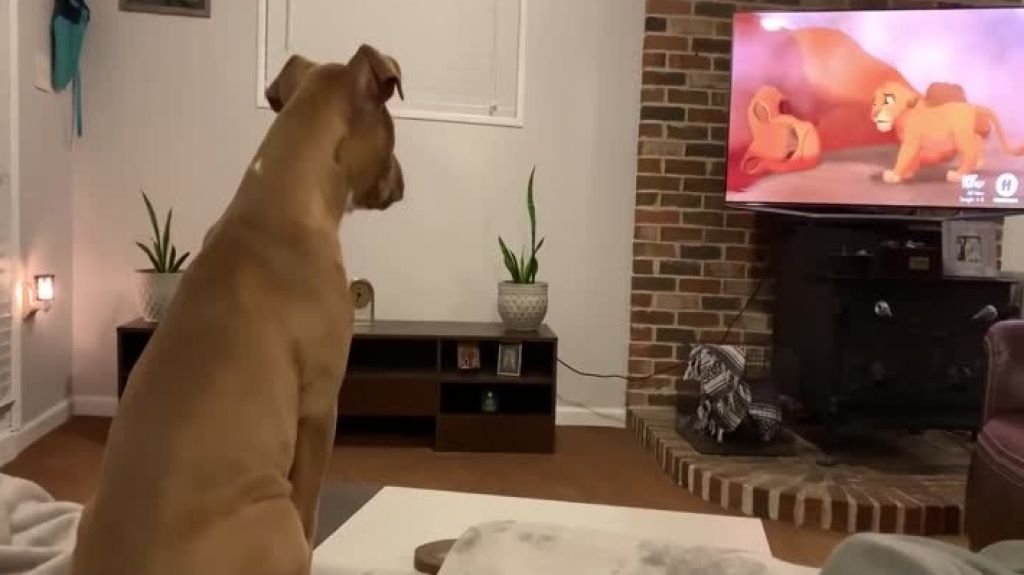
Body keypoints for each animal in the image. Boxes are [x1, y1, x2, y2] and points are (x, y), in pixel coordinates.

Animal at [872, 80, 1024, 184]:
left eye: (888, 100)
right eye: (874, 101)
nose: (874, 114)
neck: (903, 116)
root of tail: (972, 107)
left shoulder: (911, 142)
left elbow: (904, 157)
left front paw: (894, 175)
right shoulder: (913, 144)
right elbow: (912, 159)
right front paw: (907, 173)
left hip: (961, 137)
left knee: (970, 152)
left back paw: (958, 174)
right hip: (967, 135)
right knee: (977, 140)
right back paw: (977, 163)